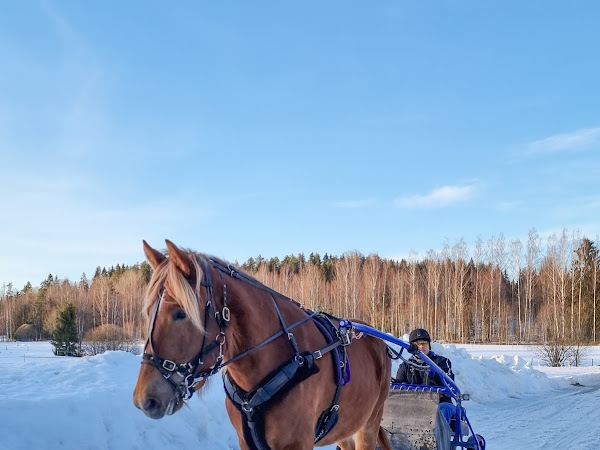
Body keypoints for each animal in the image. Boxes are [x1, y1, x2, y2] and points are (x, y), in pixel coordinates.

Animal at [133, 239, 392, 450]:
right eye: (148, 312)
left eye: (179, 313)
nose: (144, 399)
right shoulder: (246, 441)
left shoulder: (298, 443)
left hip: (369, 424)